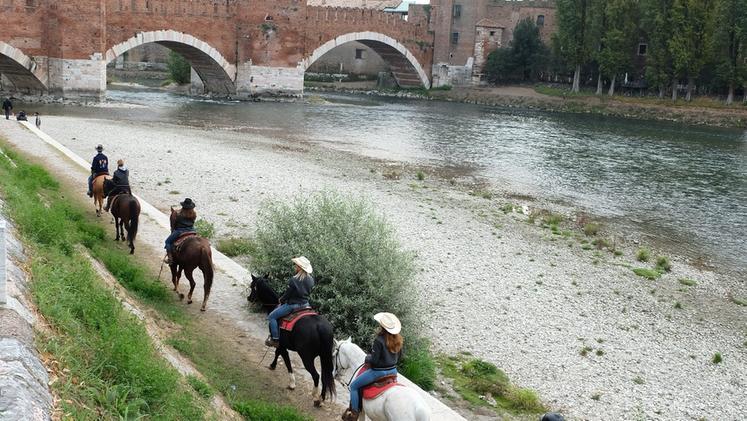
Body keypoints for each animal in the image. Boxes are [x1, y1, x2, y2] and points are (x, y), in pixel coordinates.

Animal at [248, 272, 336, 406]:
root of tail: (320, 327)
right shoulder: (282, 344)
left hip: (306, 356)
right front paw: (273, 365)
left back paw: (315, 397)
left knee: (316, 375)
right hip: (324, 356)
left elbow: (286, 360)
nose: (249, 298)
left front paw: (292, 383)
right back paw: (321, 398)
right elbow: (278, 353)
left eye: (252, 286)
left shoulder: (281, 344)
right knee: (325, 375)